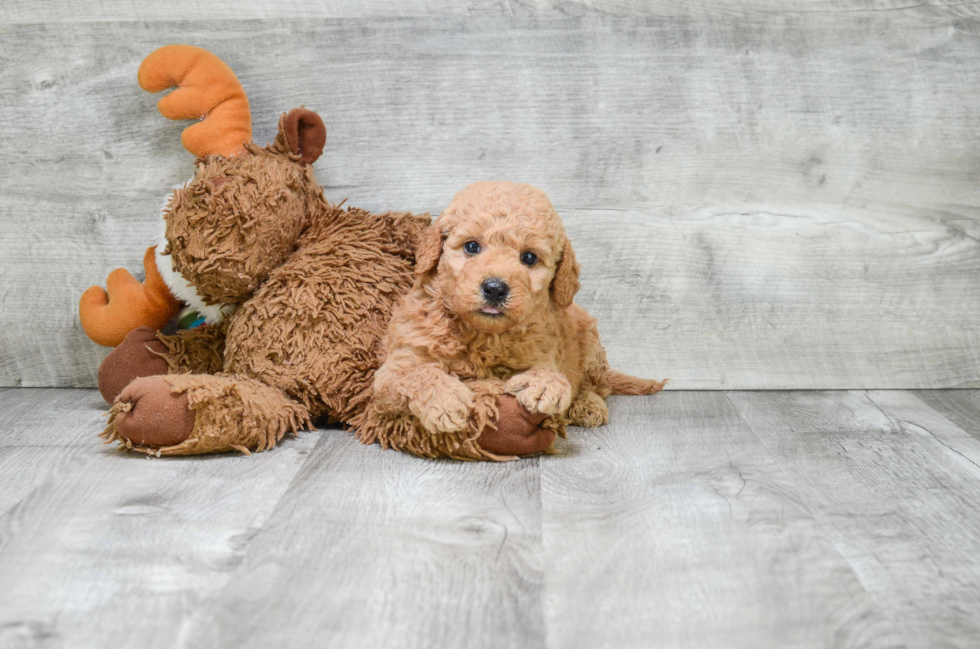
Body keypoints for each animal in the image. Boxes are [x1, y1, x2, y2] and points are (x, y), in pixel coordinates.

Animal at [370, 180, 668, 454]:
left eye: (529, 258)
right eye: (471, 247)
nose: (495, 288)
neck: (483, 335)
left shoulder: (542, 351)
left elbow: (550, 372)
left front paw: (544, 385)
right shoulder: (394, 369)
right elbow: (416, 373)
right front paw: (445, 400)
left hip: (591, 344)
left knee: (597, 385)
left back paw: (588, 404)